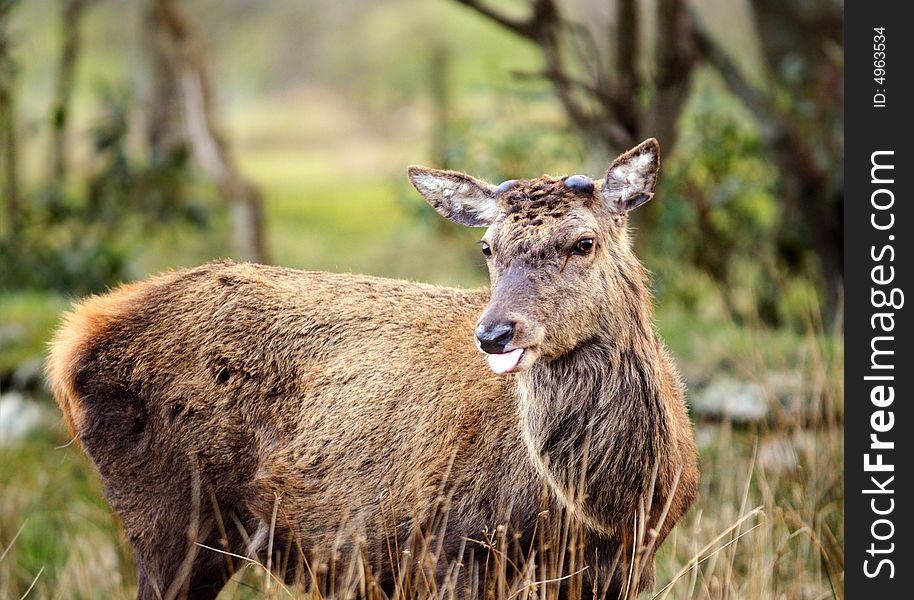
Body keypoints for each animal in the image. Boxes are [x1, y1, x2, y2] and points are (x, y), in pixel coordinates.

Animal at [46, 138, 696, 596]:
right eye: (488, 247)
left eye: (584, 242)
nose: (493, 334)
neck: (615, 503)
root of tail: (70, 344)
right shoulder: (452, 547)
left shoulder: (626, 564)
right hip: (171, 515)